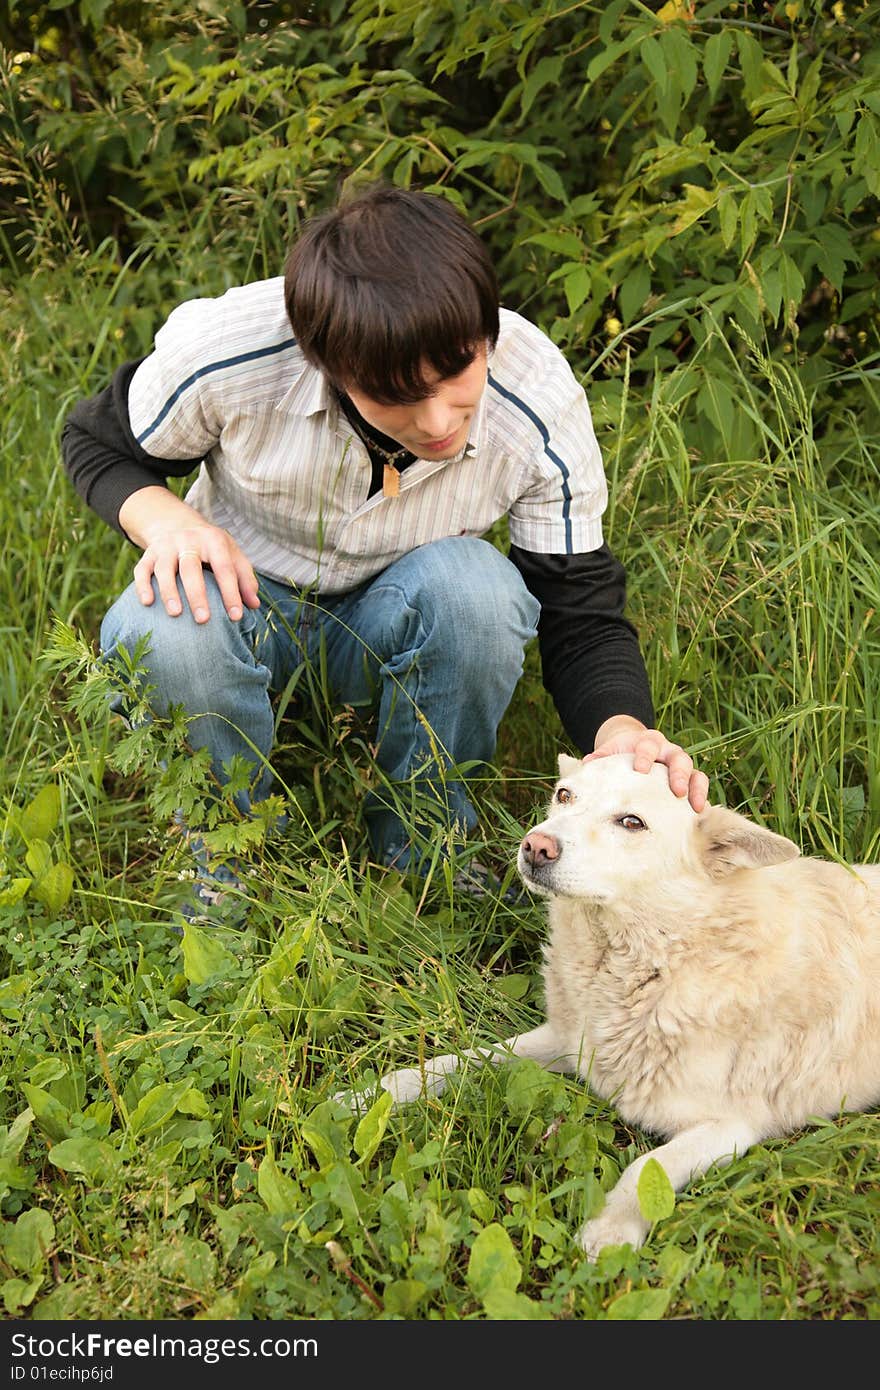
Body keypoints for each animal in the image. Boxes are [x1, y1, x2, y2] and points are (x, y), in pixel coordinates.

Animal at [369, 756, 878, 1267]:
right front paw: (379, 1092)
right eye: (564, 796)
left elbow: (646, 1167)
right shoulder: (570, 1043)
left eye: (632, 822)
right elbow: (465, 1059)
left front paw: (609, 1232)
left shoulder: (734, 1125)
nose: (535, 846)